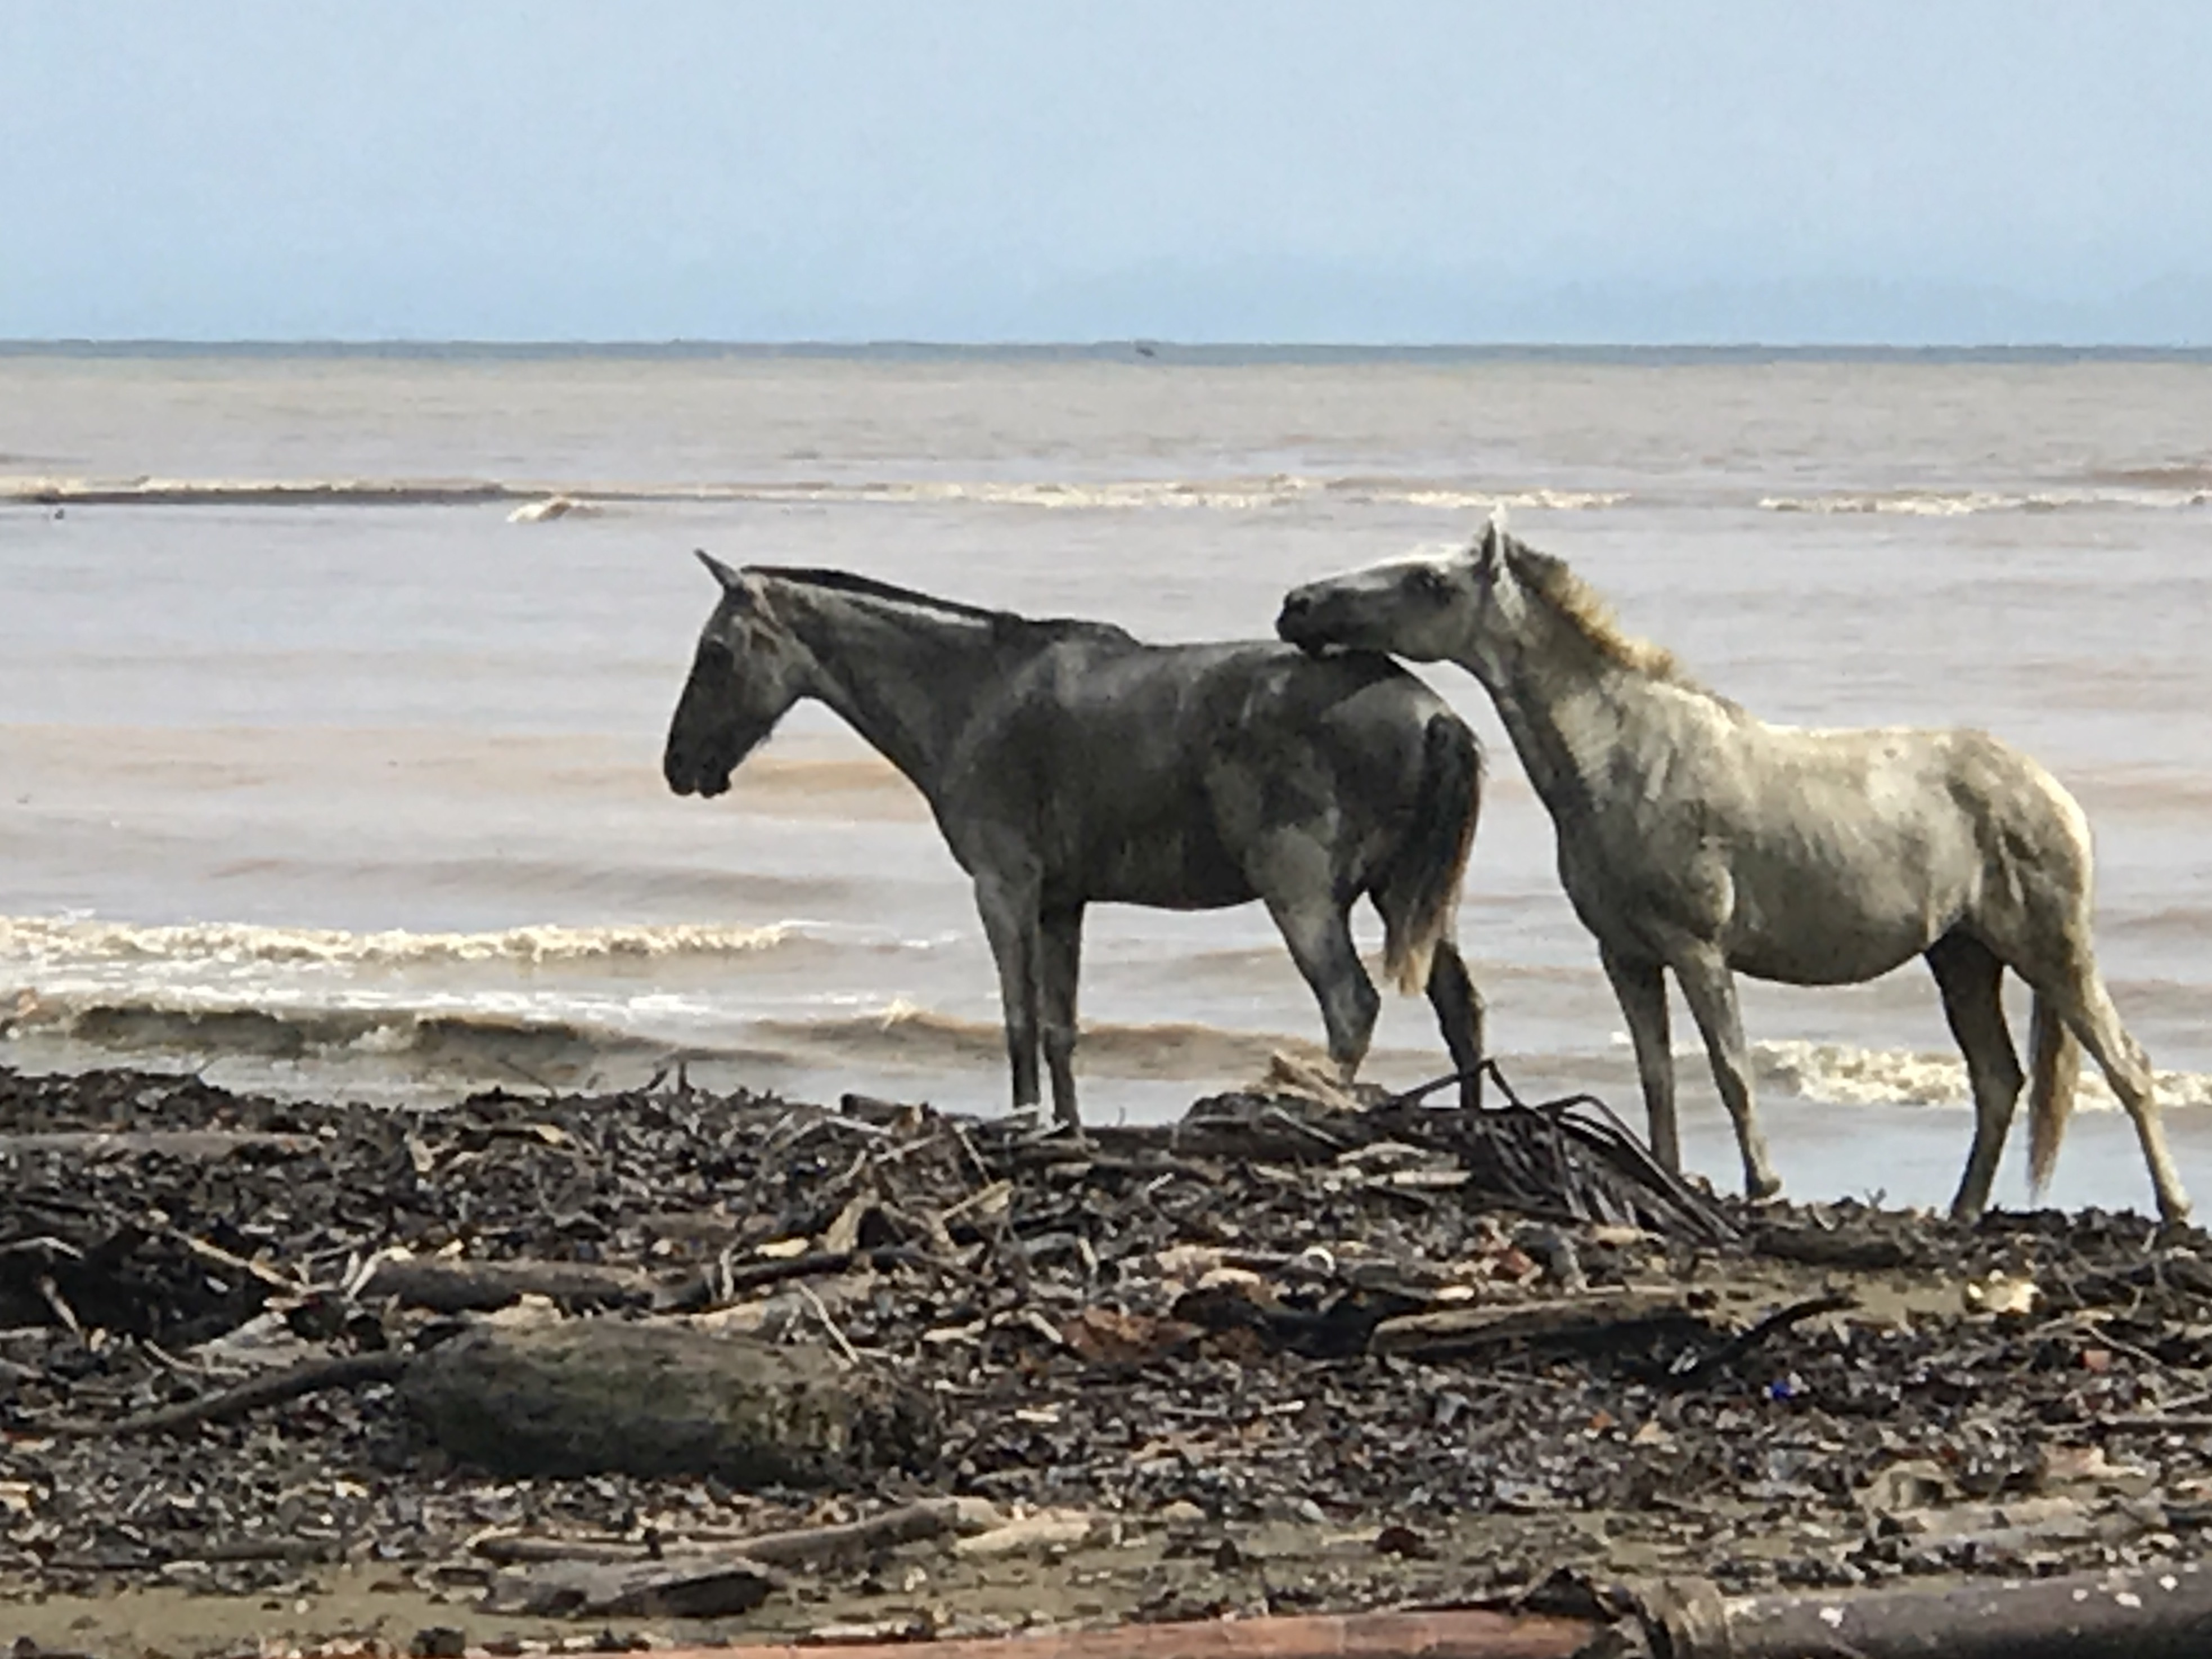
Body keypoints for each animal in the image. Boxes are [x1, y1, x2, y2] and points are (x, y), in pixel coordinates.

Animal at [664, 553, 1487, 1125]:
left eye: (717, 651)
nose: (678, 766)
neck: (974, 692)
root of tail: (1432, 713)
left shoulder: (1003, 887)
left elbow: (1018, 1017)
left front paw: (1025, 1121)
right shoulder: (1062, 901)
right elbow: (1060, 1025)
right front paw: (1065, 1126)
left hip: (1303, 896)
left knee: (1350, 1007)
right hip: (1411, 898)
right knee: (1460, 1011)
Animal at [1276, 516, 2189, 1224]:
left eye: (1428, 581)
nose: (1298, 606)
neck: (1622, 755)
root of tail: (2049, 791)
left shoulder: (1697, 949)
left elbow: (1731, 1070)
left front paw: (1762, 1186)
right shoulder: (1627, 955)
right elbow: (1656, 1076)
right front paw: (1667, 1175)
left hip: (2048, 948)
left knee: (2126, 1067)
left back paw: (2174, 1208)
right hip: (1960, 955)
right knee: (1999, 1081)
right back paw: (1962, 1212)